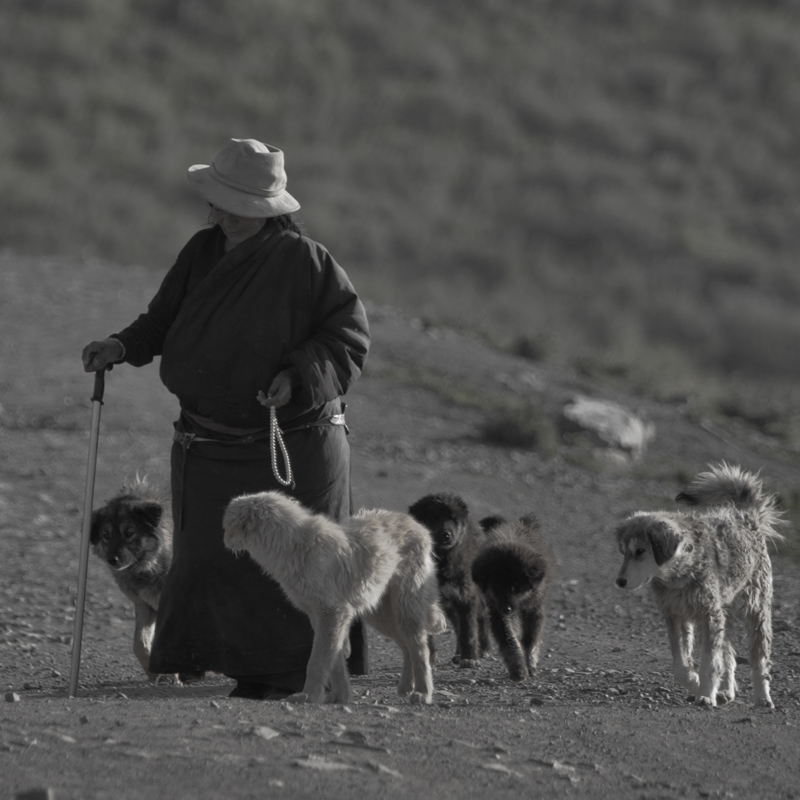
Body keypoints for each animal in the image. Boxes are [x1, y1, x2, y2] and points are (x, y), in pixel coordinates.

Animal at [225, 490, 446, 704]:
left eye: (227, 526)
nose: (224, 541)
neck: (294, 546)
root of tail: (416, 525)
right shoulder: (322, 616)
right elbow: (335, 659)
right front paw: (341, 697)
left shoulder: (332, 612)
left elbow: (317, 661)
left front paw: (309, 695)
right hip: (381, 614)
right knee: (407, 647)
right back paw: (407, 687)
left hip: (404, 610)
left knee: (420, 648)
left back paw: (423, 693)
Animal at [410, 490, 490, 664]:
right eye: (433, 518)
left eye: (453, 519)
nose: (446, 535)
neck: (443, 561)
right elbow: (431, 636)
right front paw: (430, 659)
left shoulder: (466, 596)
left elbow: (469, 630)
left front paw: (470, 659)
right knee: (458, 626)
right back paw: (459, 654)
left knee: (482, 619)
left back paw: (484, 649)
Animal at [472, 512, 552, 680]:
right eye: (496, 586)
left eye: (516, 587)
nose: (506, 609)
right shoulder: (496, 610)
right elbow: (508, 640)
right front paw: (518, 670)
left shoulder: (534, 608)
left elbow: (530, 640)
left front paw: (530, 665)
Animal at [616, 462, 784, 708]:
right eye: (624, 552)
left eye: (640, 551)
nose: (619, 582)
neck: (680, 574)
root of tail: (745, 514)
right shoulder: (676, 616)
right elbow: (681, 668)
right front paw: (699, 687)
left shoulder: (709, 615)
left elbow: (709, 663)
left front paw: (705, 694)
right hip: (725, 613)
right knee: (729, 656)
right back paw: (726, 691)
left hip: (755, 609)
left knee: (759, 658)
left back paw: (763, 697)